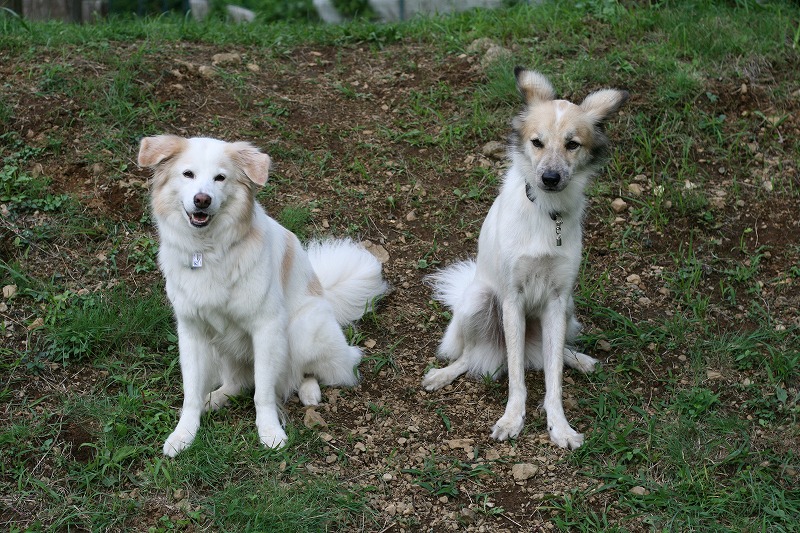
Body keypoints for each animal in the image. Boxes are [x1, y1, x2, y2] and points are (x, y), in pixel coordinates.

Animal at [139, 135, 390, 456]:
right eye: (188, 174)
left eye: (220, 178)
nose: (202, 200)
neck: (208, 250)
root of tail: (326, 295)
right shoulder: (192, 331)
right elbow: (192, 392)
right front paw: (184, 434)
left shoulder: (267, 328)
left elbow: (264, 393)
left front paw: (270, 432)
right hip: (221, 347)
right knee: (238, 383)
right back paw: (216, 398)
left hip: (302, 330)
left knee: (318, 369)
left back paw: (309, 391)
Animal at [422, 67, 628, 448]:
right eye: (537, 142)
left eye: (572, 144)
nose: (550, 177)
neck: (548, 212)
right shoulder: (512, 299)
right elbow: (516, 374)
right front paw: (511, 419)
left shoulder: (557, 299)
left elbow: (554, 379)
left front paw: (560, 426)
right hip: (479, 300)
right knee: (472, 355)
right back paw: (443, 374)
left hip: (568, 309)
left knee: (551, 354)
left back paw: (579, 359)